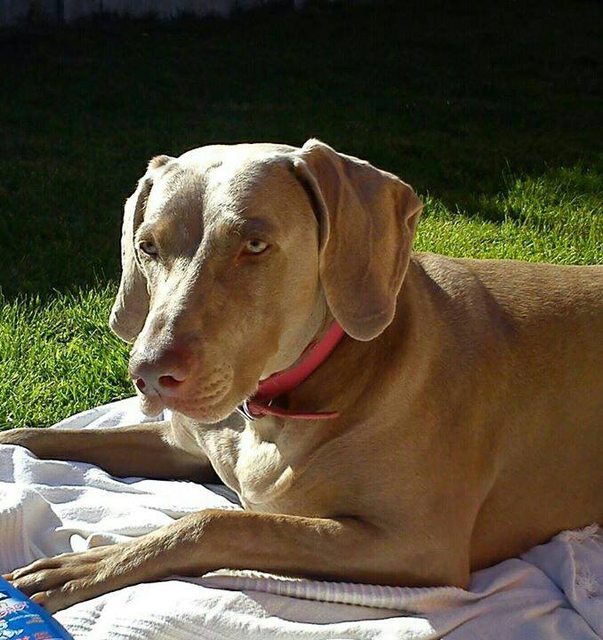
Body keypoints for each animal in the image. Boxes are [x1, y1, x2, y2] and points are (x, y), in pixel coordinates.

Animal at [2, 141, 600, 616]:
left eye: (255, 244)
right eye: (147, 246)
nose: (147, 373)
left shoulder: (416, 545)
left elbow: (219, 522)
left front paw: (91, 564)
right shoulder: (182, 443)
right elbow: (38, 436)